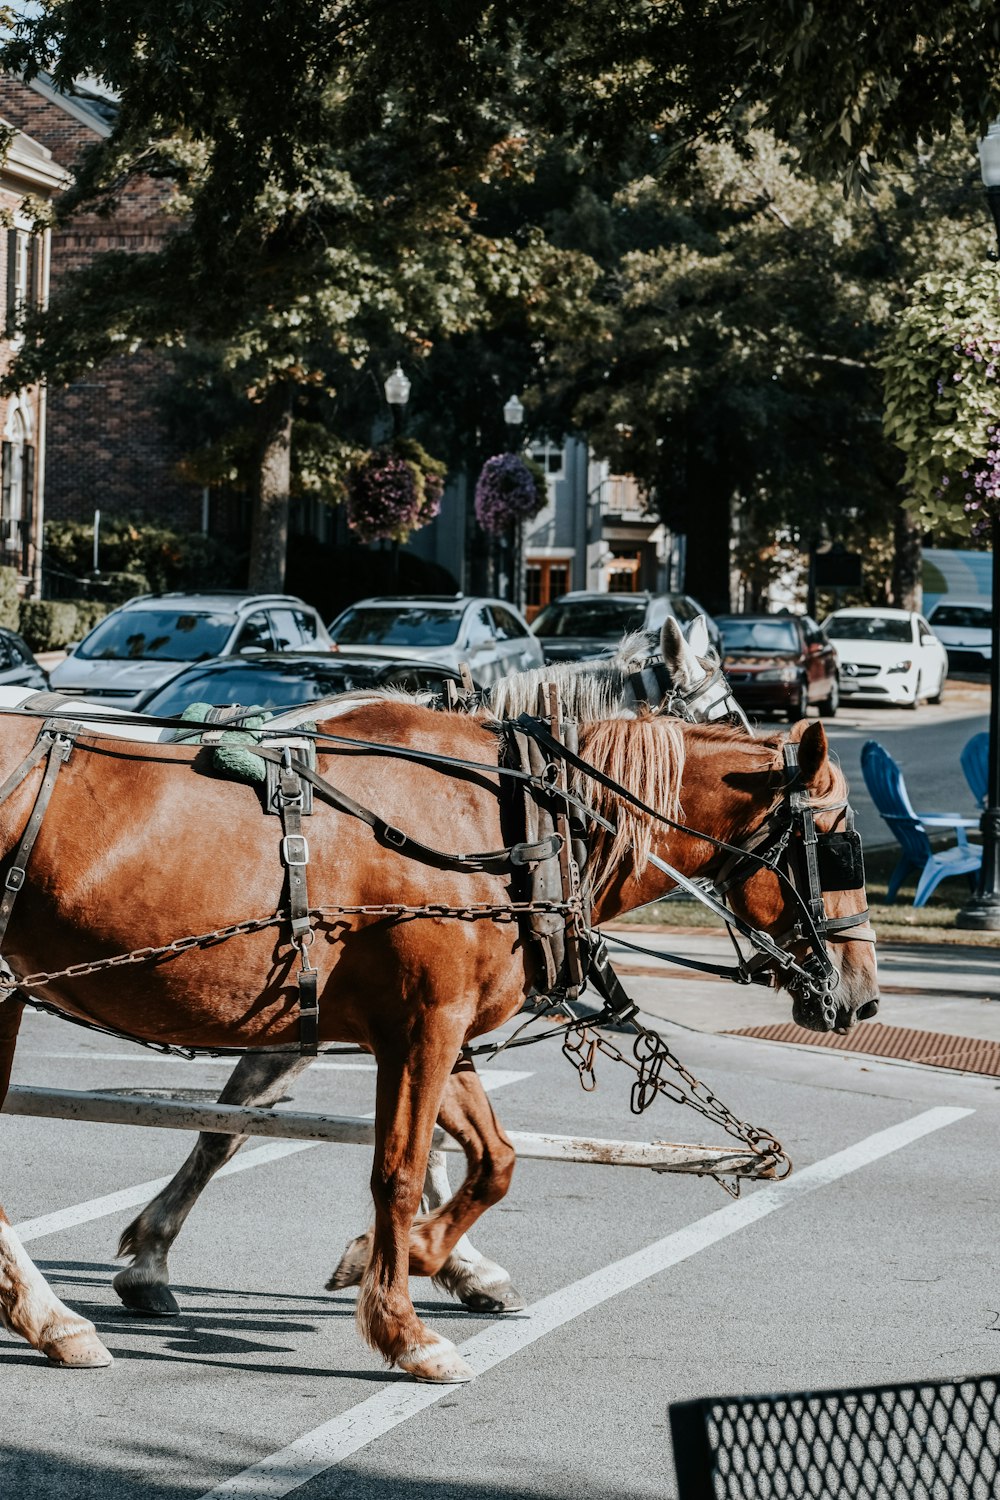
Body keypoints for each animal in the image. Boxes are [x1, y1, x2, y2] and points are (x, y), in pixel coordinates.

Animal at [0, 702, 875, 1380]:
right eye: (841, 842)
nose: (863, 995)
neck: (511, 823)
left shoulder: (440, 1028)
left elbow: (495, 1162)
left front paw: (397, 1260)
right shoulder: (424, 1024)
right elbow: (397, 1170)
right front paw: (403, 1328)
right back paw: (55, 1318)